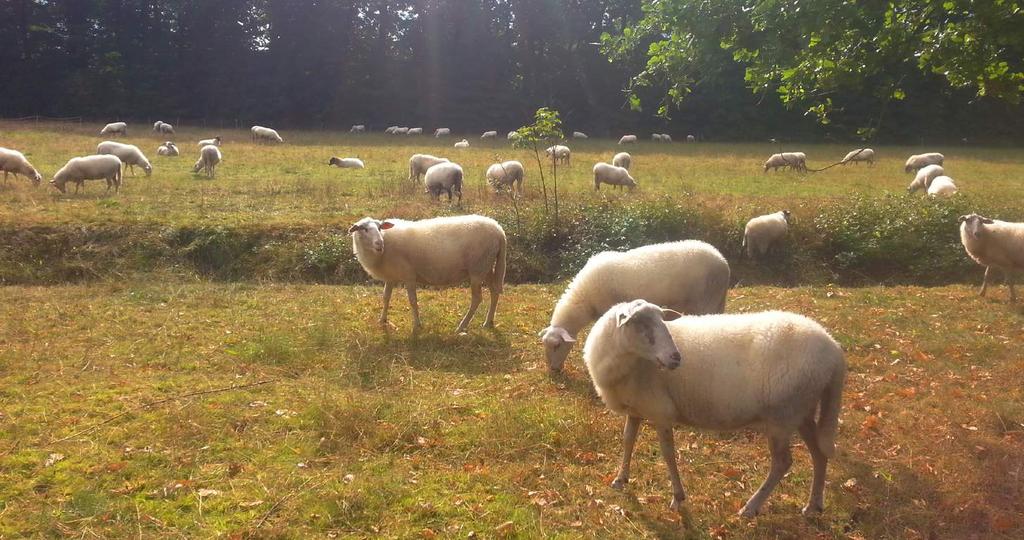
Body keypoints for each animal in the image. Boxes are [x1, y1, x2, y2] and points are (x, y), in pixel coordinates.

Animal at [350, 215, 505, 334]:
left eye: (380, 228)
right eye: (364, 229)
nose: (379, 243)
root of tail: (498, 229)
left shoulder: (409, 276)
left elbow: (413, 301)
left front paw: (417, 325)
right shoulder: (391, 277)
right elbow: (386, 298)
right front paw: (382, 320)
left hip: (477, 269)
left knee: (477, 299)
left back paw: (462, 326)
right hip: (486, 266)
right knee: (494, 291)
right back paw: (488, 322)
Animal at [536, 240, 729, 372]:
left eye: (557, 346)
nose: (553, 370)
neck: (584, 298)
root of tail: (722, 261)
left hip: (705, 301)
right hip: (713, 301)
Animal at [585, 299, 847, 520]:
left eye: (663, 321)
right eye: (641, 323)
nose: (676, 357)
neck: (630, 363)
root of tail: (834, 350)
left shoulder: (661, 411)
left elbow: (668, 454)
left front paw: (678, 498)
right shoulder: (636, 408)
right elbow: (628, 440)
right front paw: (620, 479)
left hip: (782, 415)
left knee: (782, 463)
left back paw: (751, 507)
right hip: (802, 411)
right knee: (819, 454)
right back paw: (813, 505)